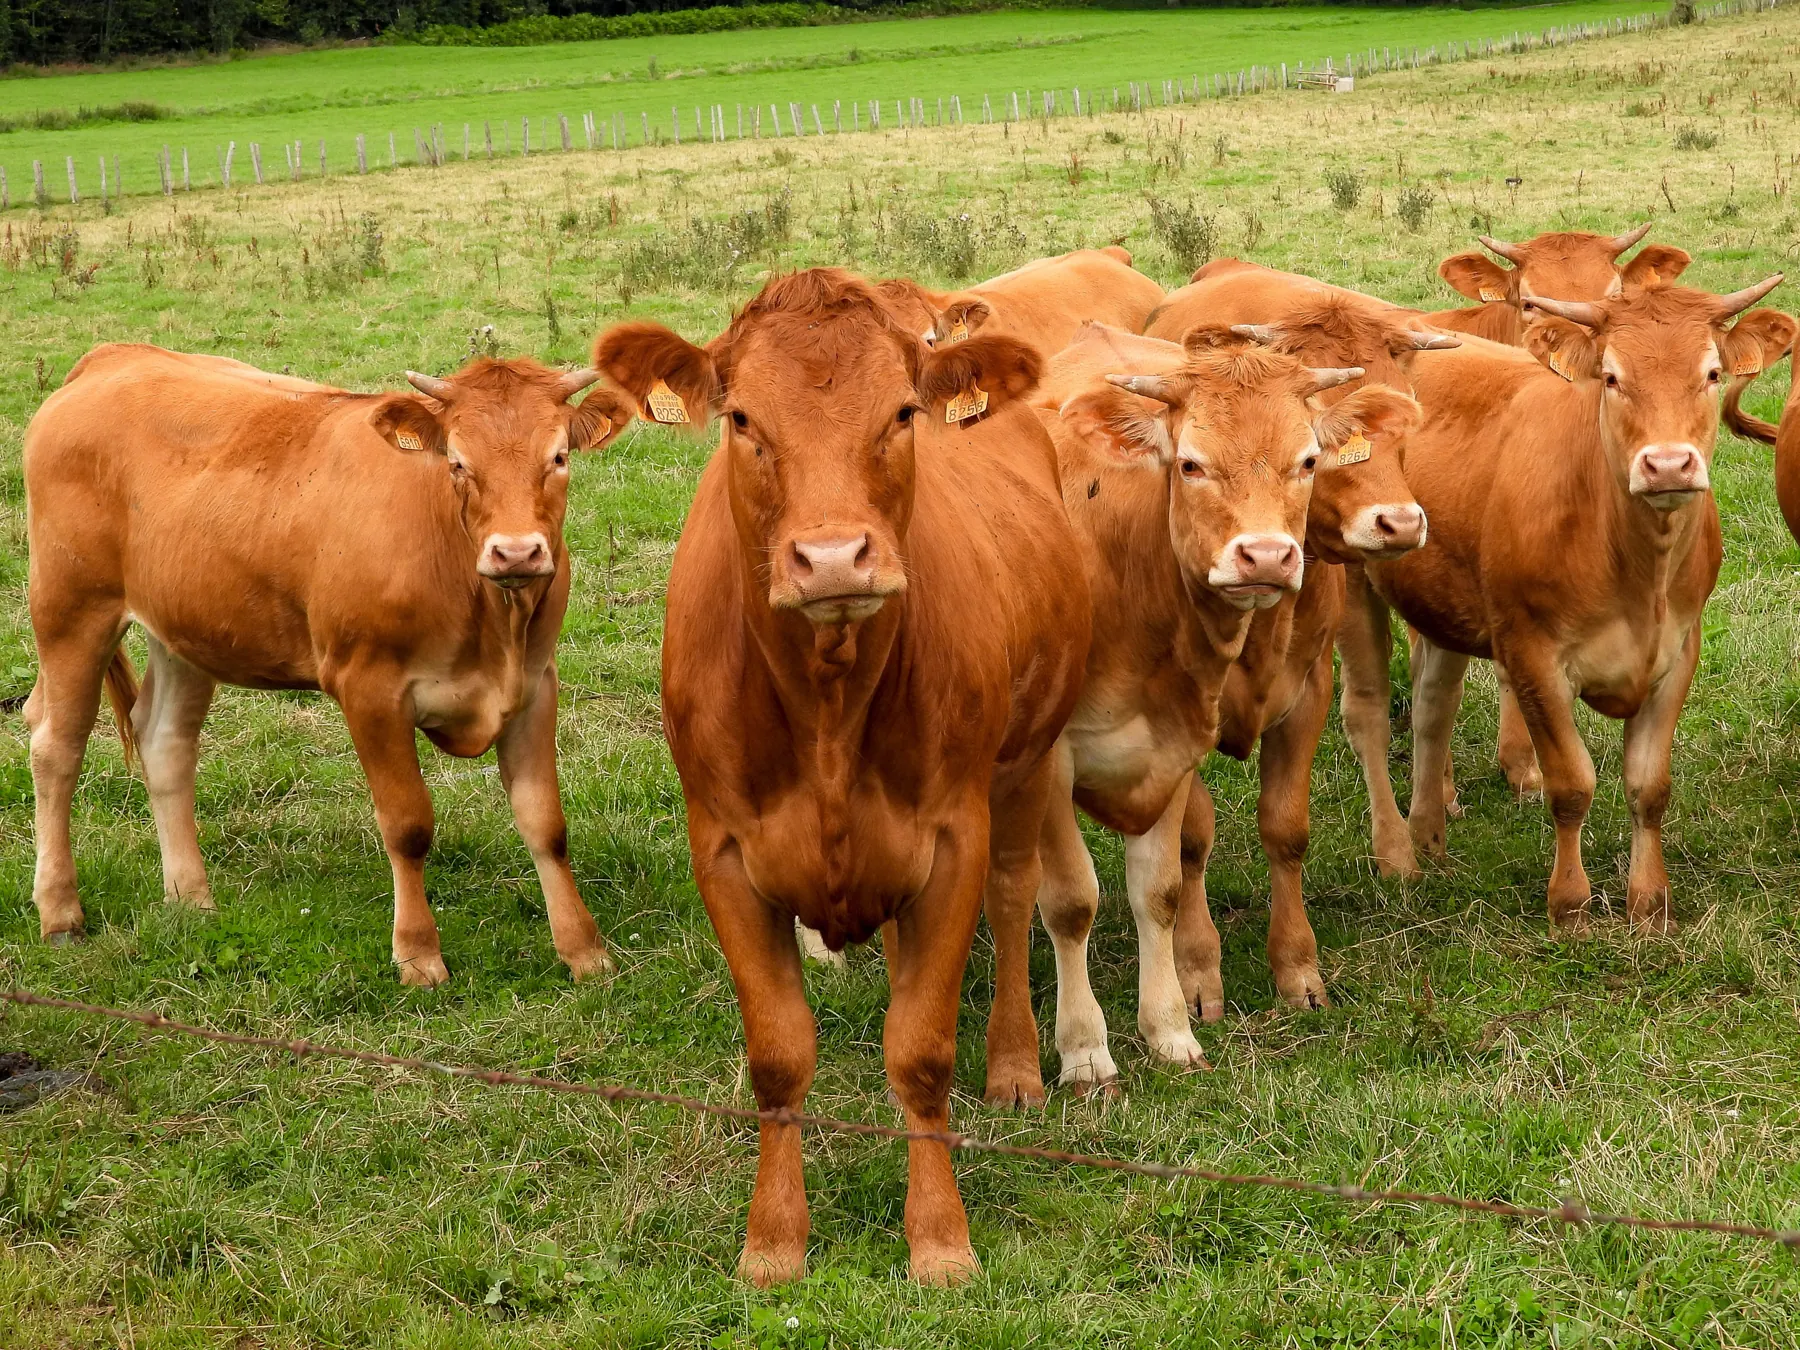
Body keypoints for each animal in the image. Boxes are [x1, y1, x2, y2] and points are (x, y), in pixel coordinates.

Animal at [25, 344, 626, 987]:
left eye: (558, 456)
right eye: (458, 463)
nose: (516, 552)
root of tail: (113, 356)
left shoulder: (535, 684)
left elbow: (546, 825)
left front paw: (585, 951)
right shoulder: (369, 689)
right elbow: (407, 826)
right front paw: (418, 955)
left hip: (184, 626)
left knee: (163, 742)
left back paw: (191, 900)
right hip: (71, 608)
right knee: (56, 747)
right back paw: (60, 913)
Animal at [593, 269, 1089, 1285]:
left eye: (902, 411)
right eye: (742, 418)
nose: (831, 560)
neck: (826, 706)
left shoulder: (953, 836)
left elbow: (922, 1051)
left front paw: (939, 1239)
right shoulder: (725, 854)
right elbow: (779, 1055)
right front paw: (773, 1243)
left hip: (1025, 762)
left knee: (1015, 897)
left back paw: (1016, 1066)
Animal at [1011, 323, 1417, 1088]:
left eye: (1308, 459)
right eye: (1191, 464)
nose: (1266, 555)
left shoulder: (1267, 706)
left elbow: (1248, 846)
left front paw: (1292, 973)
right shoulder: (1054, 760)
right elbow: (1083, 896)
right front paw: (1105, 1040)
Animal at [1340, 277, 1789, 932]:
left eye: (1711, 373)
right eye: (1611, 377)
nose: (1668, 464)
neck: (1635, 567)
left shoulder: (1678, 654)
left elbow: (1649, 788)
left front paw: (1650, 905)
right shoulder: (1532, 656)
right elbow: (1572, 784)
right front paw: (1570, 906)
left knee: (1432, 706)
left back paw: (1430, 828)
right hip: (1350, 580)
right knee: (1369, 712)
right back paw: (1396, 853)